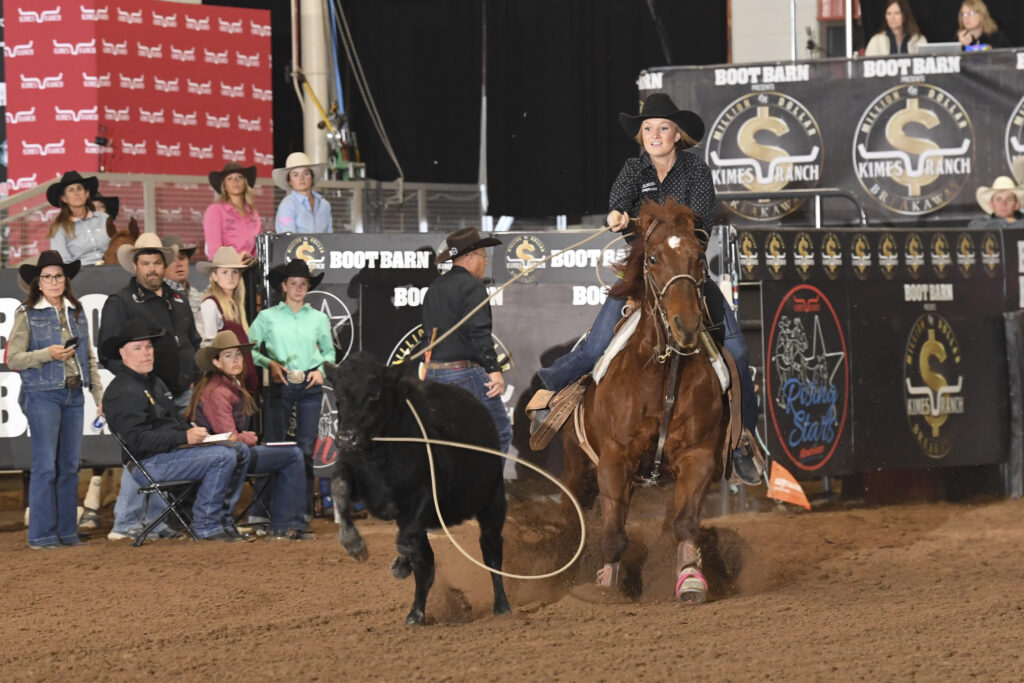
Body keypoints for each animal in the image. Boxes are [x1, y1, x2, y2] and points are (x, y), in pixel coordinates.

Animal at [326, 351, 511, 625]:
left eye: (374, 392)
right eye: (338, 395)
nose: (347, 438)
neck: (380, 454)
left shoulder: (429, 494)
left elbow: (406, 540)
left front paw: (399, 564)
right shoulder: (354, 471)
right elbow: (339, 487)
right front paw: (353, 543)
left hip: (493, 503)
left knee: (491, 552)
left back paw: (501, 605)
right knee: (426, 565)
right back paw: (415, 614)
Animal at [560, 197, 729, 604]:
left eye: (700, 256)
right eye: (652, 258)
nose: (686, 325)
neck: (662, 373)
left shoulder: (698, 456)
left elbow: (685, 523)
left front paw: (690, 579)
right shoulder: (614, 459)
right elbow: (613, 535)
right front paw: (606, 589)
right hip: (576, 465)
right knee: (573, 513)